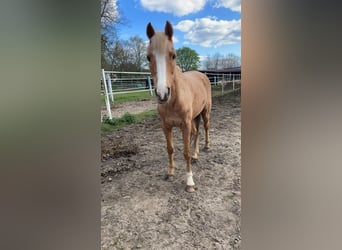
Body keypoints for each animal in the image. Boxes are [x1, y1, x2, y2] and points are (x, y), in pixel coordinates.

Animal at [146, 21, 212, 193]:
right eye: (148, 57)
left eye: (173, 55)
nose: (162, 94)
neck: (173, 101)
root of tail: (202, 75)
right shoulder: (166, 126)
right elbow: (170, 149)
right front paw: (170, 173)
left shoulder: (185, 125)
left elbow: (186, 152)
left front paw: (190, 182)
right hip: (194, 118)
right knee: (196, 133)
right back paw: (196, 156)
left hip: (205, 112)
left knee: (206, 128)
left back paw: (206, 147)